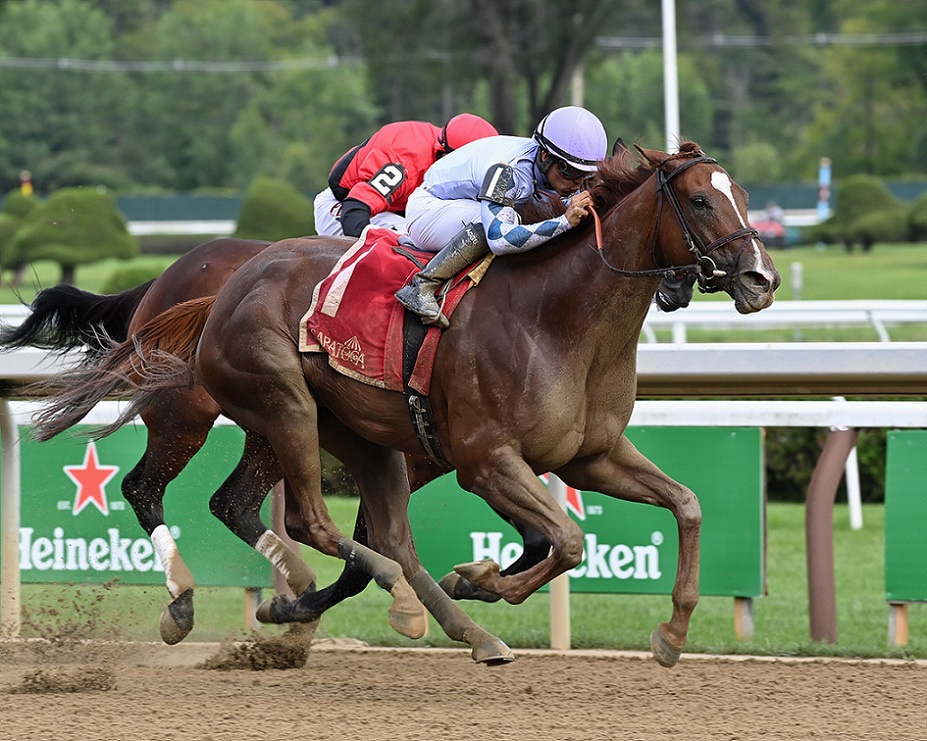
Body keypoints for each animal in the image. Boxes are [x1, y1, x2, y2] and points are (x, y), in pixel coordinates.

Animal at [27, 142, 780, 665]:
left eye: (744, 194)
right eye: (703, 202)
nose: (761, 278)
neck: (558, 320)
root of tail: (213, 287)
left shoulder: (589, 455)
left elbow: (685, 505)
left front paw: (672, 631)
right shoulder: (483, 459)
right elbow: (565, 540)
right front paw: (481, 578)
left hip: (345, 434)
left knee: (285, 515)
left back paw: (452, 626)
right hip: (253, 406)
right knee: (223, 502)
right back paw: (207, 601)